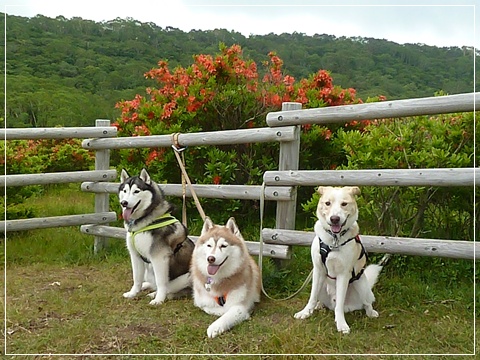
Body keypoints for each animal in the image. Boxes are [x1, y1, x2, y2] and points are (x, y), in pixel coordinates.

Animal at [294, 187, 388, 334]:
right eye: (327, 203)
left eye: (344, 204)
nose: (334, 219)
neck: (334, 240)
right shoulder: (318, 270)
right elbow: (312, 297)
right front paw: (306, 312)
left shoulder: (343, 274)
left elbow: (339, 304)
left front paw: (341, 324)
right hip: (322, 284)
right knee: (320, 298)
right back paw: (319, 305)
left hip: (361, 285)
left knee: (366, 303)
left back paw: (371, 313)